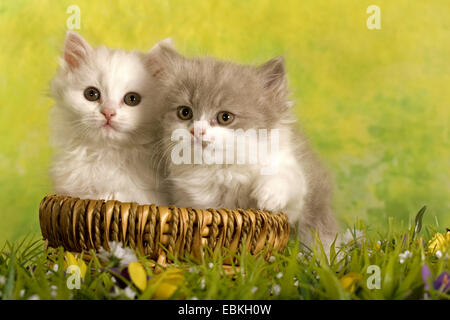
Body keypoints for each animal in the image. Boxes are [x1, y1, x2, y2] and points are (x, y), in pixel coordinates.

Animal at [148, 44, 338, 250]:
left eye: (225, 117)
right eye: (184, 112)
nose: (197, 131)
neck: (221, 170)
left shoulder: (292, 180)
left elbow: (285, 178)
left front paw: (268, 196)